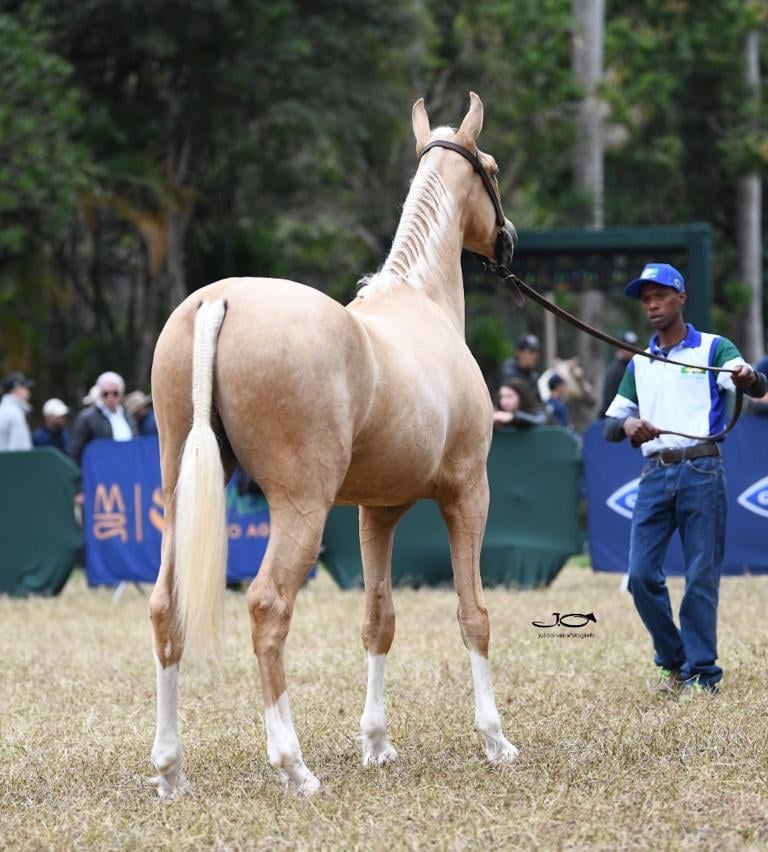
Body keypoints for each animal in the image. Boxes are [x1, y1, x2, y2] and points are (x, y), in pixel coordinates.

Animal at [147, 92, 519, 798]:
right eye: (490, 165)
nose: (509, 240)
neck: (422, 304)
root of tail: (219, 300)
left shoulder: (378, 511)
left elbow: (379, 620)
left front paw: (376, 743)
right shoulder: (469, 491)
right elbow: (474, 614)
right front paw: (494, 740)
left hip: (179, 496)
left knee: (165, 609)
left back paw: (170, 769)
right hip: (302, 508)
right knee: (268, 607)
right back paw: (293, 766)